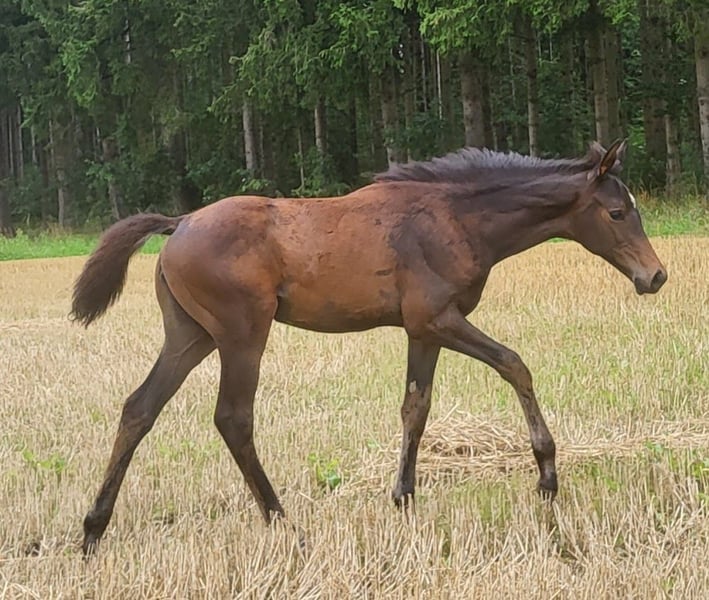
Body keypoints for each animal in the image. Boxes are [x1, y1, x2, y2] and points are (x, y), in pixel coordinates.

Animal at [71, 139, 667, 554]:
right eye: (617, 213)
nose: (655, 276)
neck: (457, 219)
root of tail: (178, 223)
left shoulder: (422, 330)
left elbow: (416, 406)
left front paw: (404, 497)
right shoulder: (439, 319)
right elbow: (515, 365)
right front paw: (546, 475)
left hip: (190, 335)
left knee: (139, 408)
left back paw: (93, 531)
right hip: (242, 335)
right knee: (232, 418)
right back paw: (284, 523)